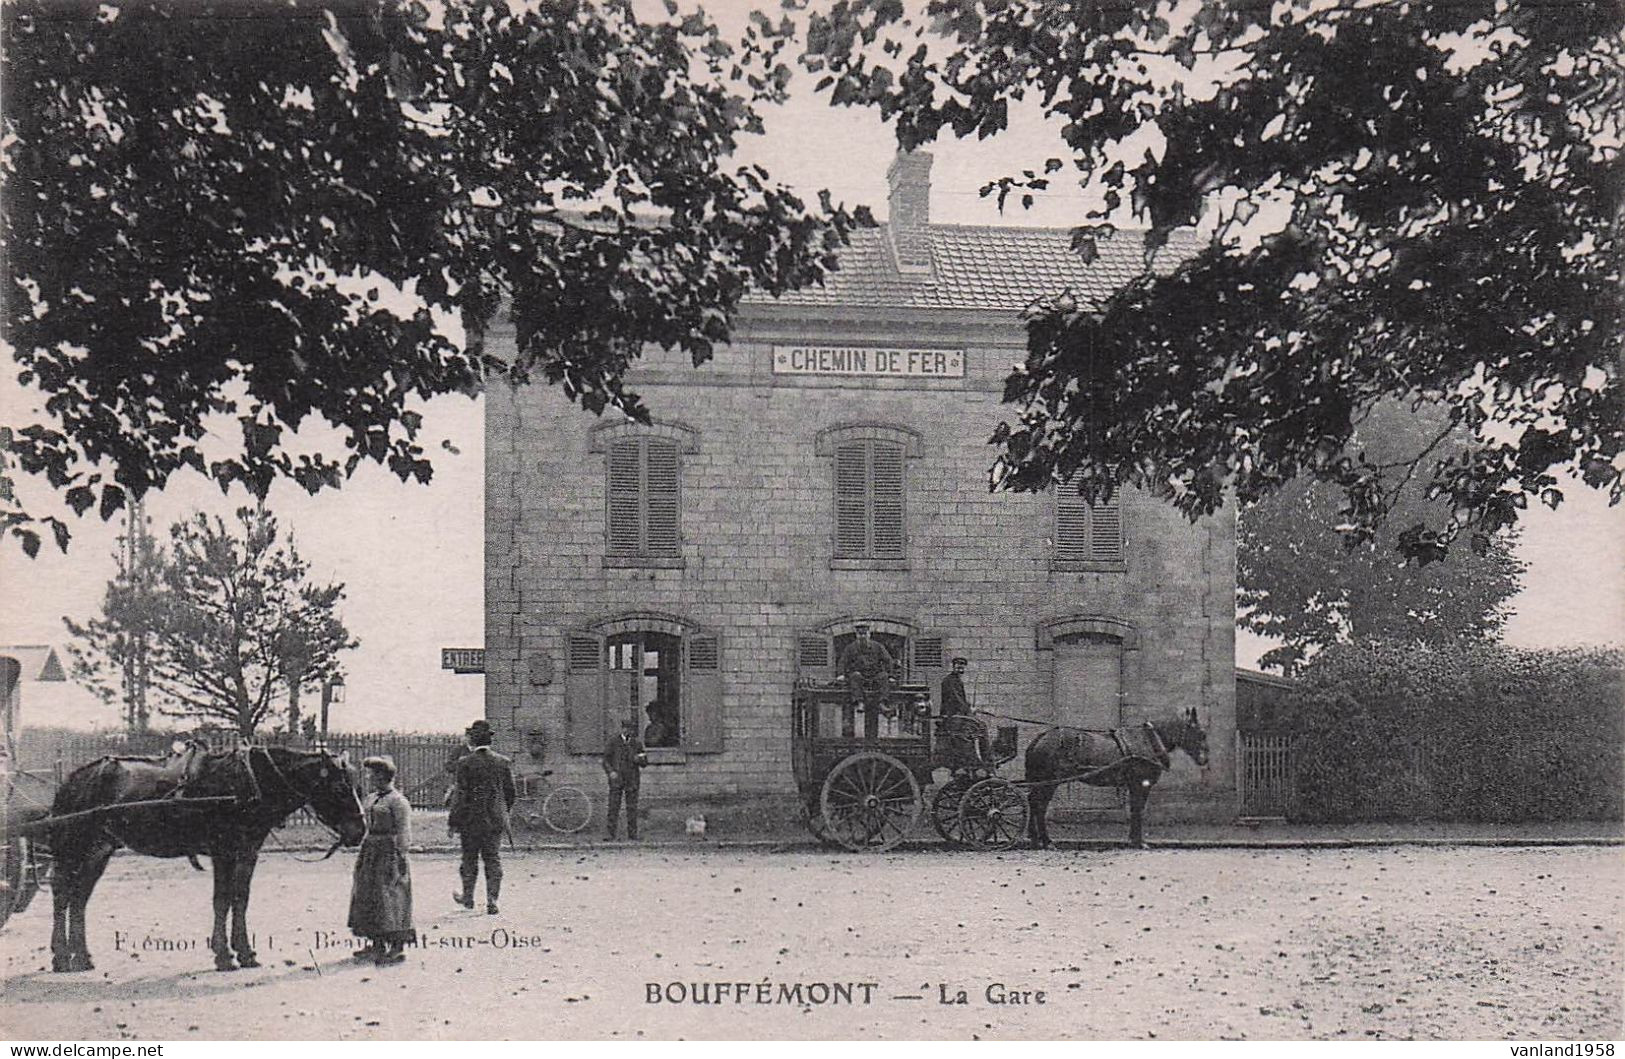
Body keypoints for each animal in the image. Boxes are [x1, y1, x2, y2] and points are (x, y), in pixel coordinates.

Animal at [42, 740, 367, 974]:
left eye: (358, 787)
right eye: (340, 788)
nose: (360, 831)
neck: (249, 783)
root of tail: (73, 778)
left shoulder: (247, 851)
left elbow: (240, 898)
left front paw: (245, 952)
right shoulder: (223, 851)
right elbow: (222, 900)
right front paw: (224, 955)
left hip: (99, 850)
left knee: (79, 898)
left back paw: (82, 957)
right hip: (74, 847)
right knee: (62, 893)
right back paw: (61, 956)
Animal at [1027, 708, 1209, 851]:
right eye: (1201, 734)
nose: (1204, 760)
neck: (1150, 740)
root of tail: (1041, 737)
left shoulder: (1134, 785)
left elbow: (1135, 810)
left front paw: (1133, 841)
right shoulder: (1141, 785)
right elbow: (1138, 810)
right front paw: (1139, 842)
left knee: (1033, 802)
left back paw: (1034, 839)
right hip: (1049, 782)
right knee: (1040, 806)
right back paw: (1047, 841)